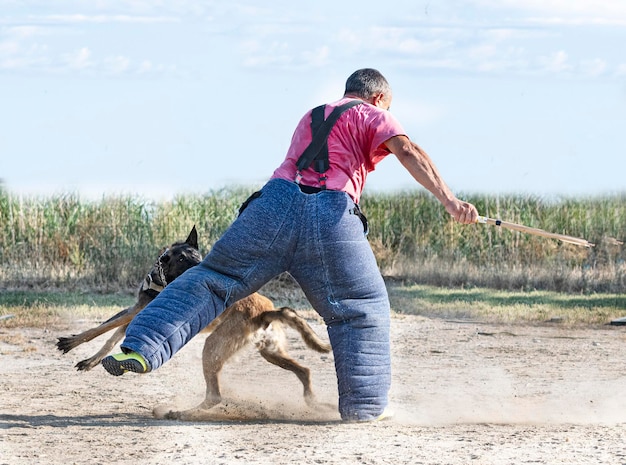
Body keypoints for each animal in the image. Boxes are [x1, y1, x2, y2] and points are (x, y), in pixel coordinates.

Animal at [57, 225, 332, 414]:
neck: (161, 279)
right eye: (183, 258)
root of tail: (264, 313)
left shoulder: (136, 311)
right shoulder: (136, 310)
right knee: (305, 371)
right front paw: (90, 361)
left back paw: (180, 413)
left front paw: (70, 343)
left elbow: (99, 329)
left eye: (197, 257)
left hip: (213, 347)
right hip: (271, 352)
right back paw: (312, 401)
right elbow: (109, 337)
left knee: (214, 397)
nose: (203, 270)